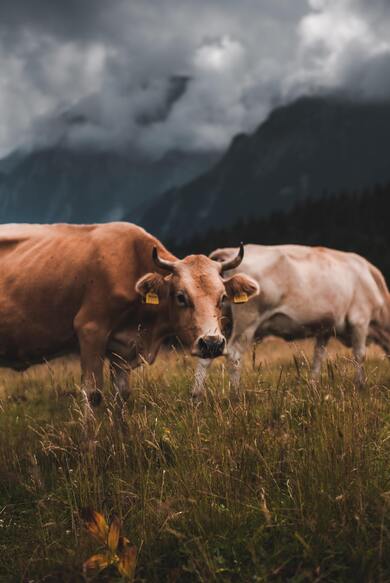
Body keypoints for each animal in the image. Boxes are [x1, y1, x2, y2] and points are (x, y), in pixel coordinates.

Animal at [0, 221, 258, 408]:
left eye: (222, 297)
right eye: (181, 296)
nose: (212, 343)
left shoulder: (121, 348)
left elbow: (122, 396)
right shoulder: (90, 331)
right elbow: (92, 395)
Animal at [193, 242, 390, 396]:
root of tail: (228, 252)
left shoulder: (325, 328)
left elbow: (318, 357)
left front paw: (313, 386)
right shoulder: (360, 320)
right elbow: (360, 354)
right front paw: (360, 386)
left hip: (220, 322)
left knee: (208, 352)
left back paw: (196, 396)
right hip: (247, 321)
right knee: (234, 354)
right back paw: (235, 395)